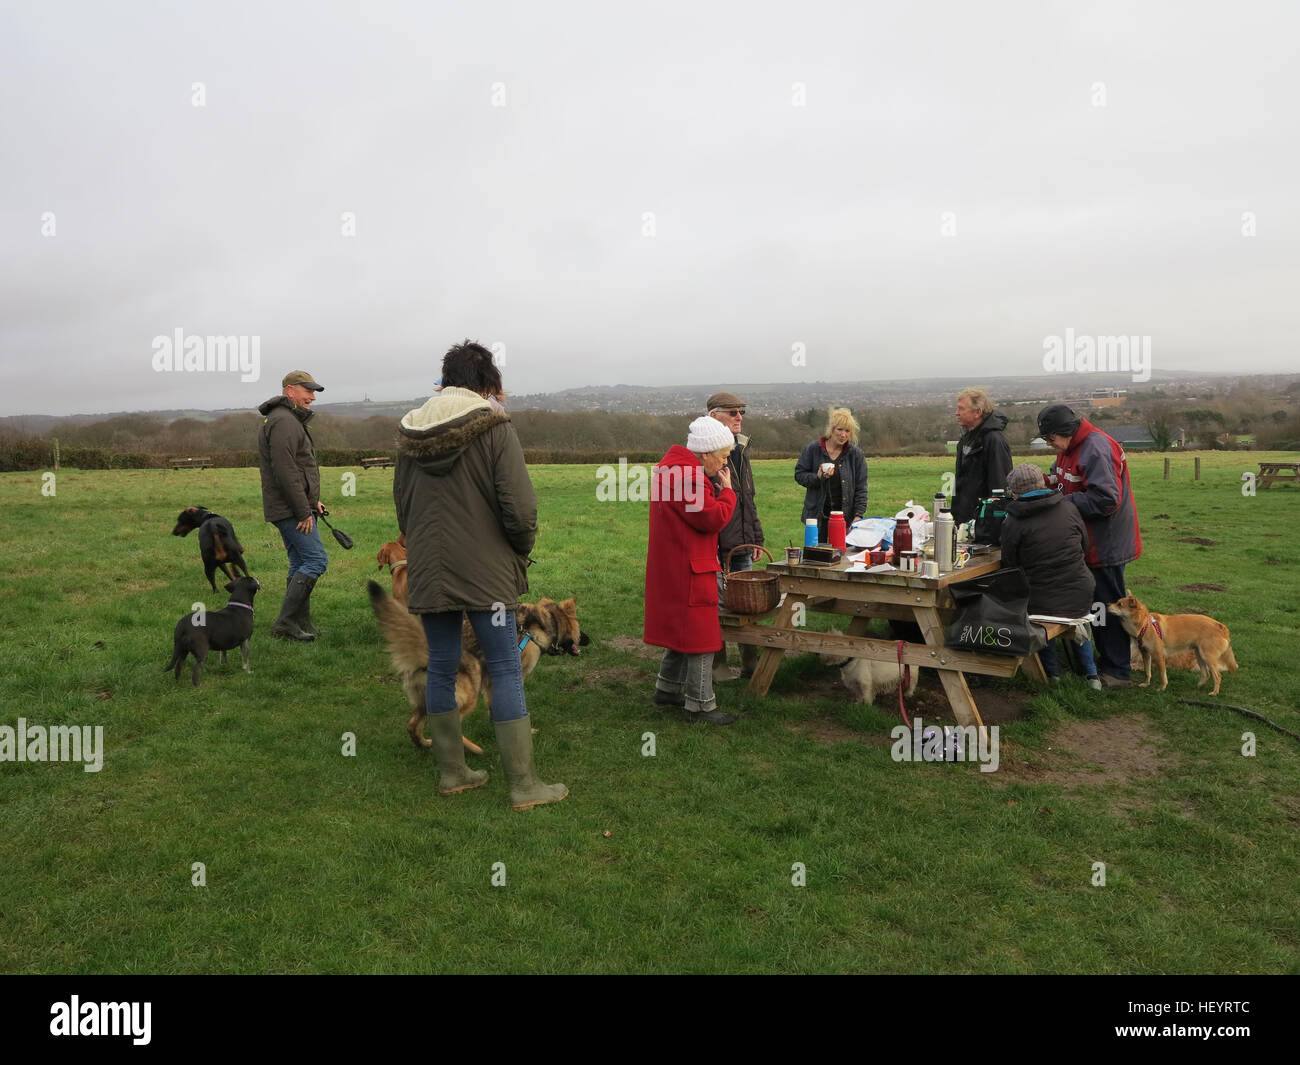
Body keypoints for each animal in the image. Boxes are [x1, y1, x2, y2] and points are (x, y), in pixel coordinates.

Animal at [366, 582, 590, 759]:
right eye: (579, 628)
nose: (589, 640)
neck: (542, 624)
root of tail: (425, 651)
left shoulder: (492, 682)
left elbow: (494, 707)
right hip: (469, 687)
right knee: (450, 724)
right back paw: (471, 749)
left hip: (425, 700)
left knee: (414, 725)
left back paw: (426, 745)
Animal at [1107, 590, 1237, 702]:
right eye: (1117, 602)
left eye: (1119, 604)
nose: (1107, 604)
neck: (1145, 624)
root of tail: (1221, 626)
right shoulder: (1146, 654)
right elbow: (1147, 672)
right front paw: (1146, 683)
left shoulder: (1158, 655)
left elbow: (1162, 674)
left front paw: (1162, 688)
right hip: (1199, 655)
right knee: (1206, 674)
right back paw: (1198, 686)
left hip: (1207, 657)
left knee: (1218, 676)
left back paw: (1215, 692)